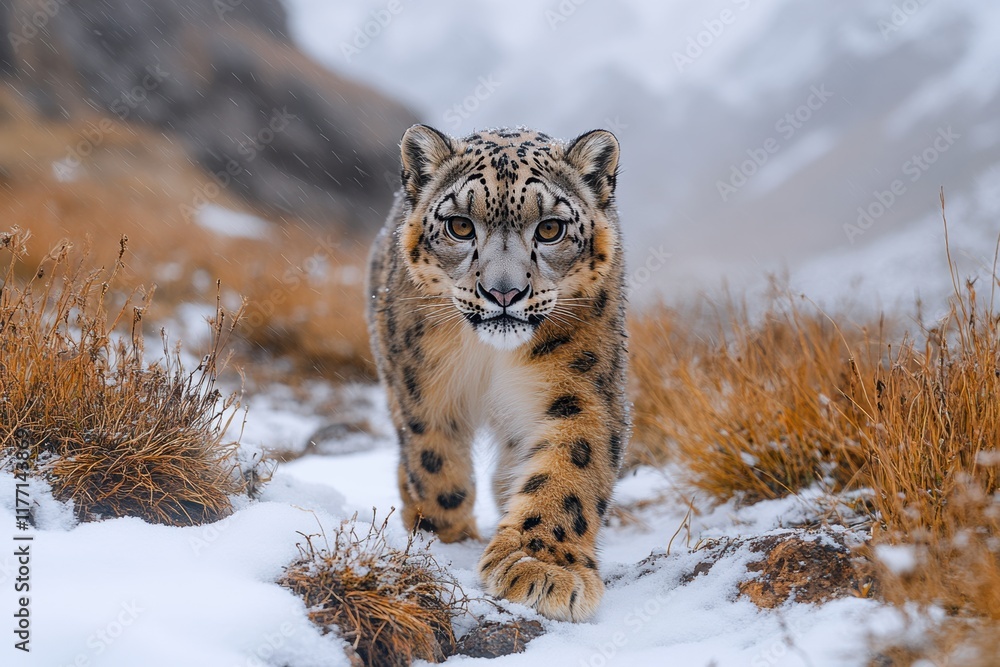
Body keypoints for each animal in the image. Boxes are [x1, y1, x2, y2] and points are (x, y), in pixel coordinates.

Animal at [366, 124, 628, 622]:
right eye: (460, 225)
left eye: (550, 228)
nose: (503, 292)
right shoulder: (423, 388)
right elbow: (436, 463)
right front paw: (448, 537)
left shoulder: (582, 387)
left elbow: (569, 467)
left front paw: (541, 568)